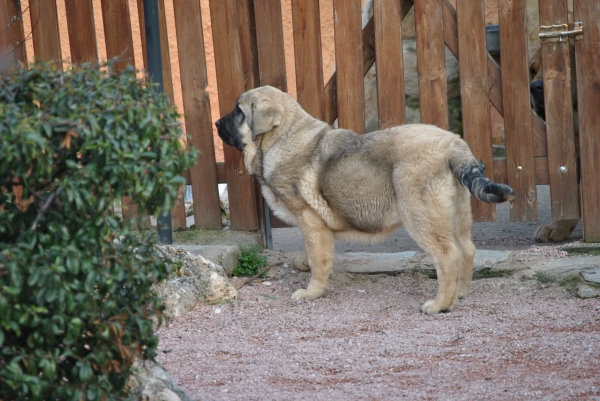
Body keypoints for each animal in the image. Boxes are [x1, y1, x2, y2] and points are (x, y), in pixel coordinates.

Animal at [216, 86, 516, 314]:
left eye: (238, 111)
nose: (217, 123)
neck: (281, 137)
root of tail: (454, 145)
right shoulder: (313, 224)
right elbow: (311, 252)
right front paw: (303, 263)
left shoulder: (309, 219)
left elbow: (319, 259)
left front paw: (312, 291)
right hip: (457, 216)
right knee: (467, 250)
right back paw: (460, 294)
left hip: (421, 217)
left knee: (448, 256)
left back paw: (440, 304)